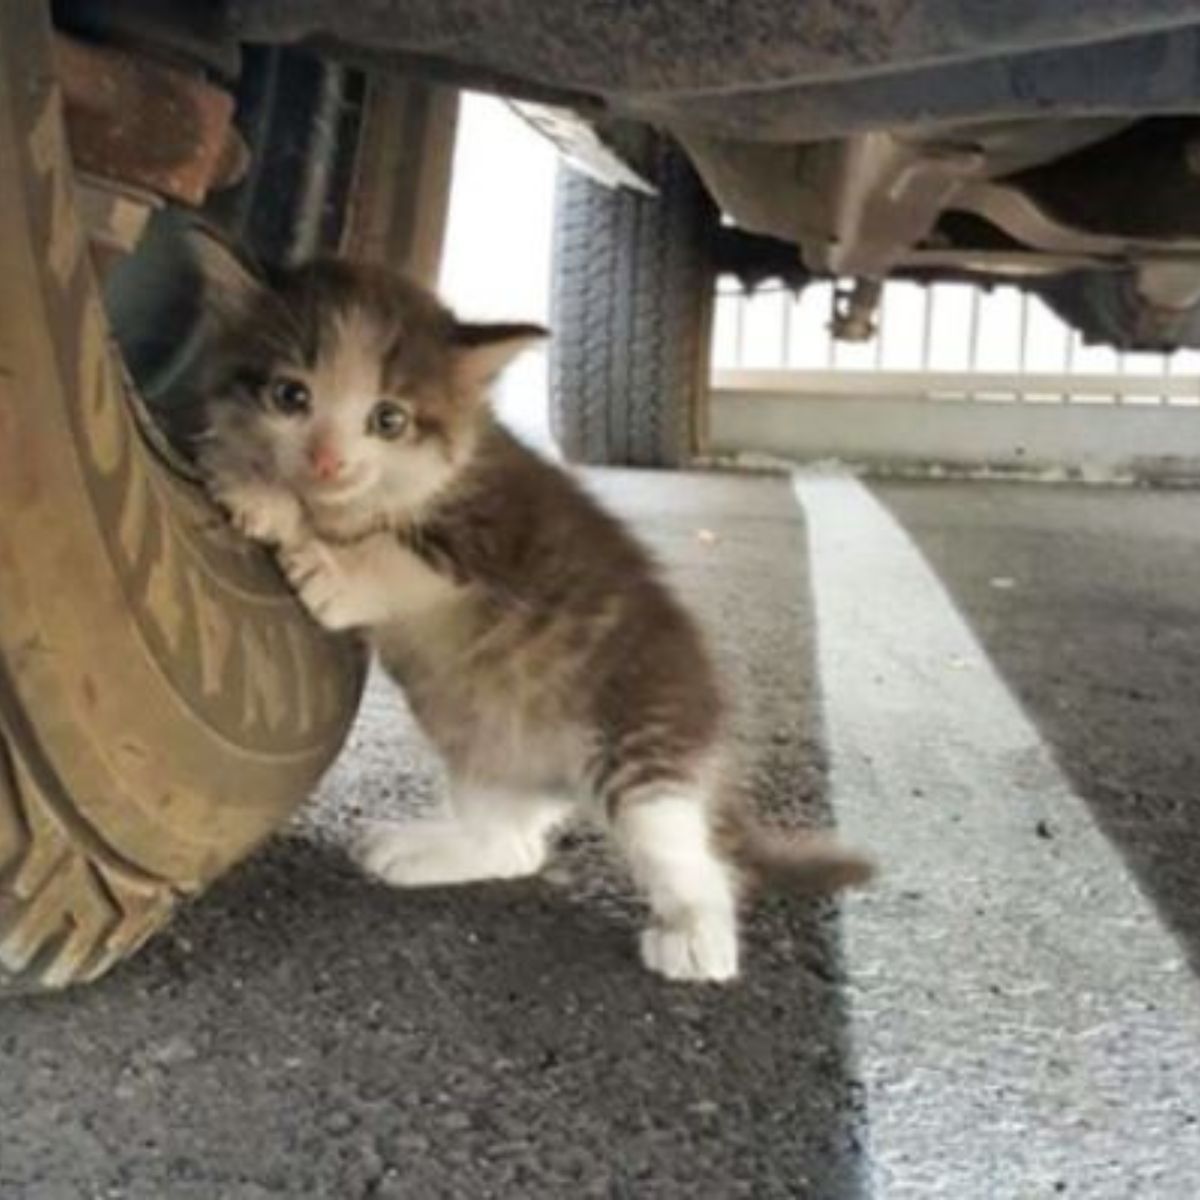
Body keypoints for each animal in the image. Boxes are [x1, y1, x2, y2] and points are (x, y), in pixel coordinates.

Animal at [194, 238, 873, 979]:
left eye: (387, 418)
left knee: (683, 848)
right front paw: (259, 488)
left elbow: (397, 556)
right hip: (484, 745)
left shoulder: (495, 533)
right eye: (291, 396)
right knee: (515, 847)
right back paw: (428, 850)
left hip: (641, 739)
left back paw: (698, 934)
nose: (326, 460)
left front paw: (322, 557)